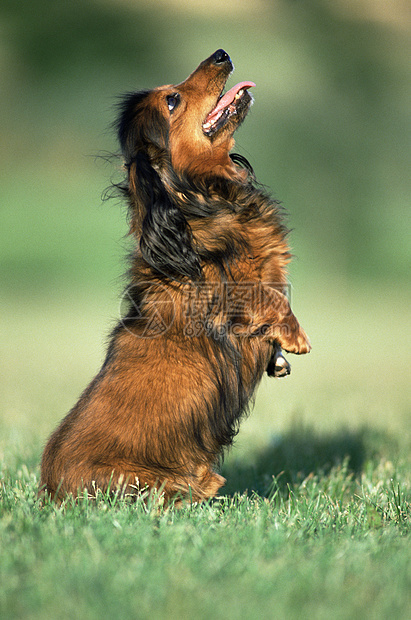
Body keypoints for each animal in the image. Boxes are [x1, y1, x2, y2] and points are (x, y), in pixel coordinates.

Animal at [40, 48, 310, 504]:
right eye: (172, 100)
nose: (221, 54)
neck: (197, 200)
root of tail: (50, 491)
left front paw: (278, 357)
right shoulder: (228, 293)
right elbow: (269, 297)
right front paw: (294, 337)